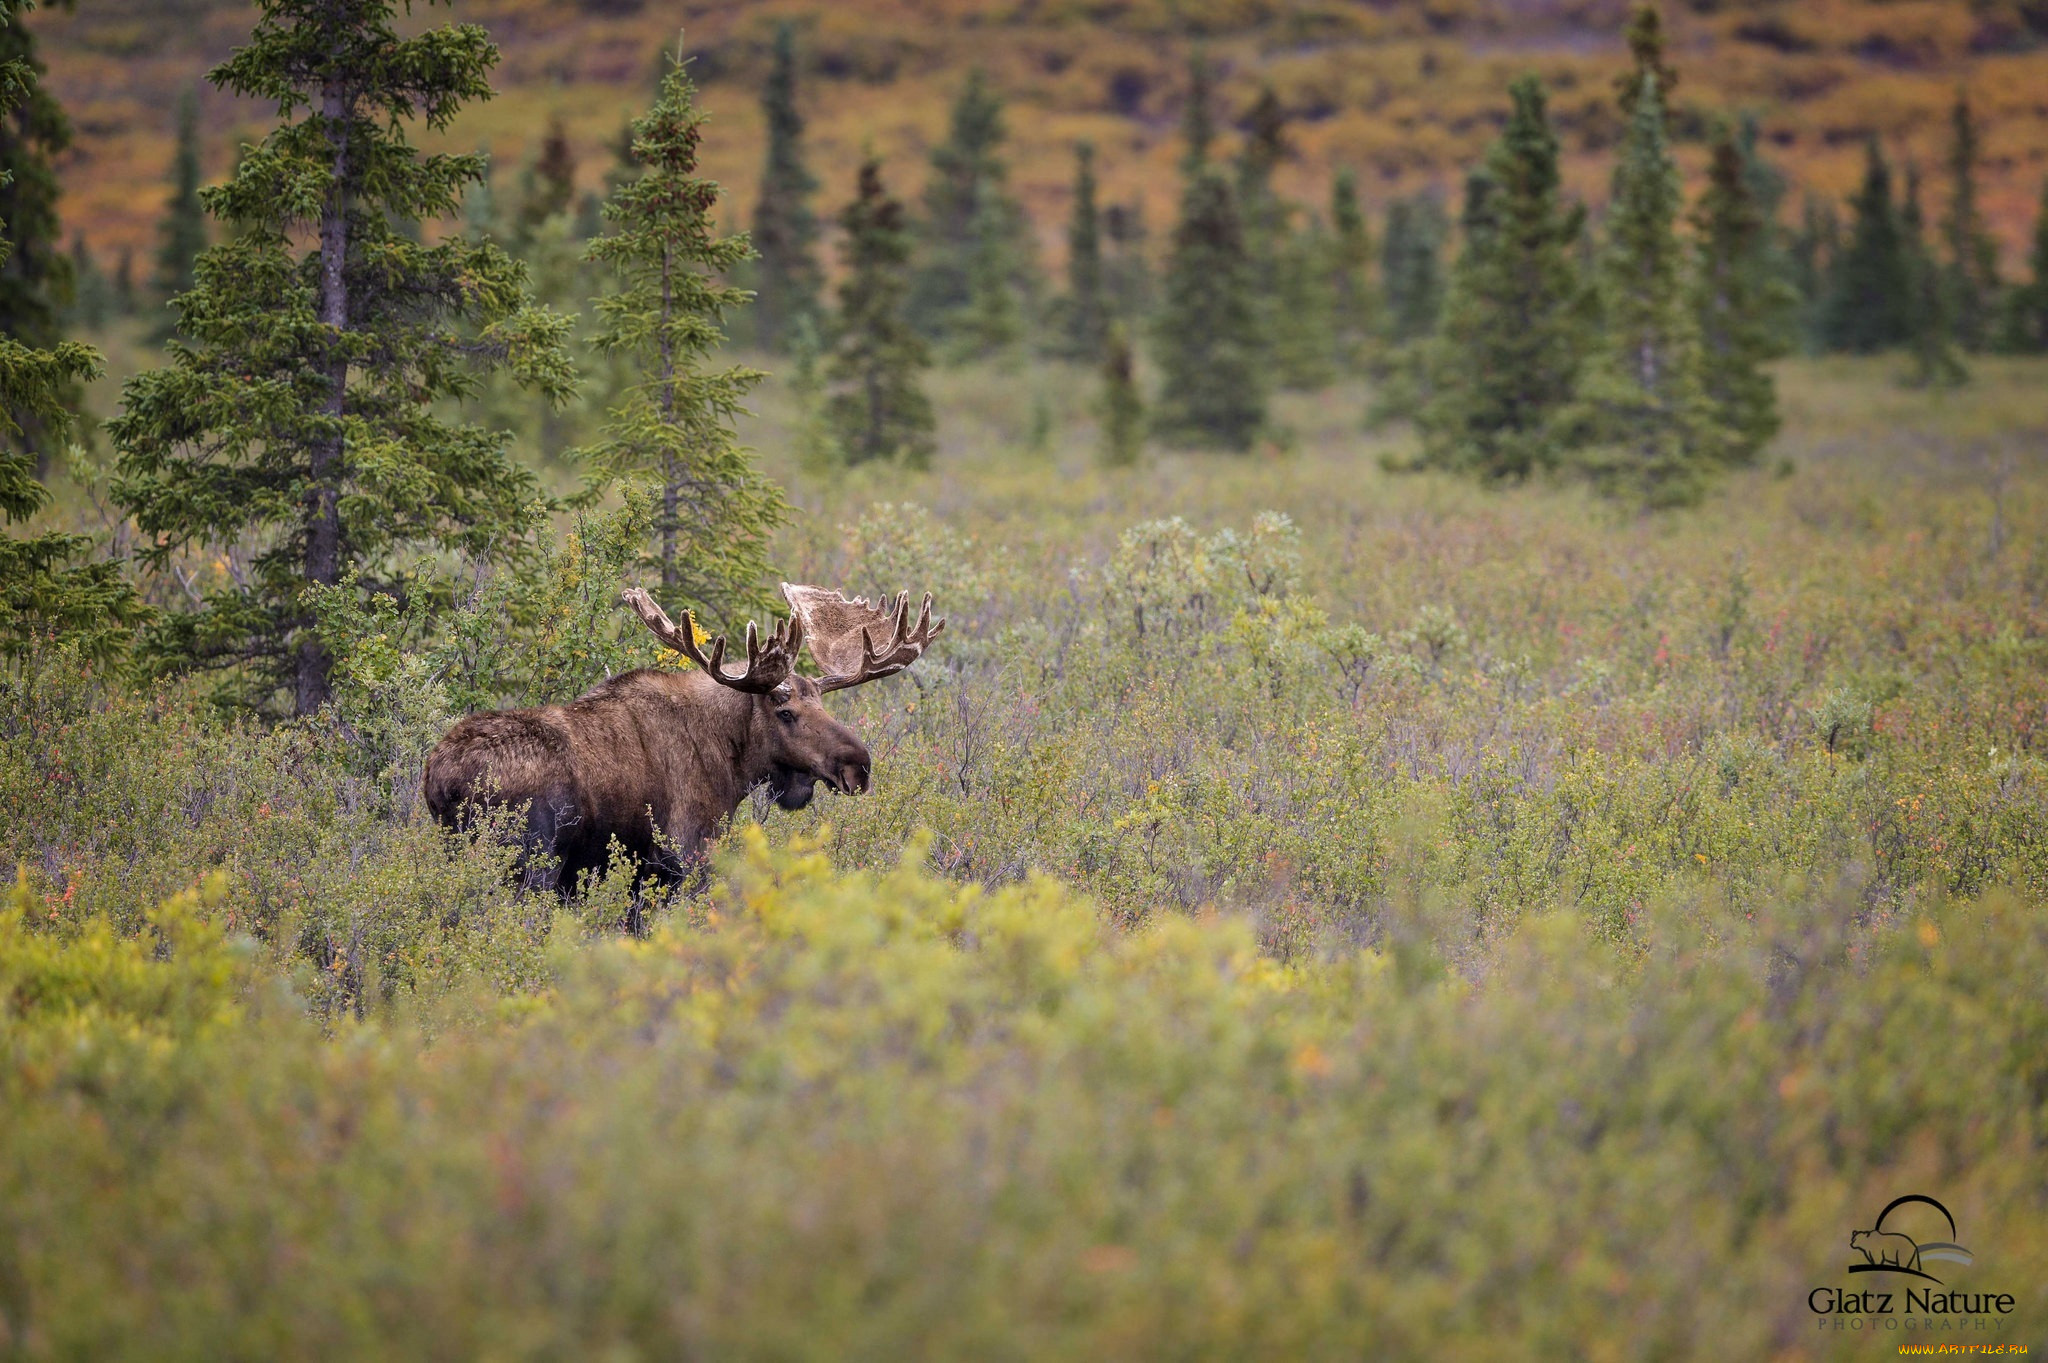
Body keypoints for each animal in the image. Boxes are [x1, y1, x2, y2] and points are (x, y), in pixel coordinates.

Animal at [436, 577, 946, 888]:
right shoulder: (686, 856)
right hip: (529, 865)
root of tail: (436, 781)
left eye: (822, 704)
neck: (732, 762)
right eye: (785, 712)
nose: (859, 766)